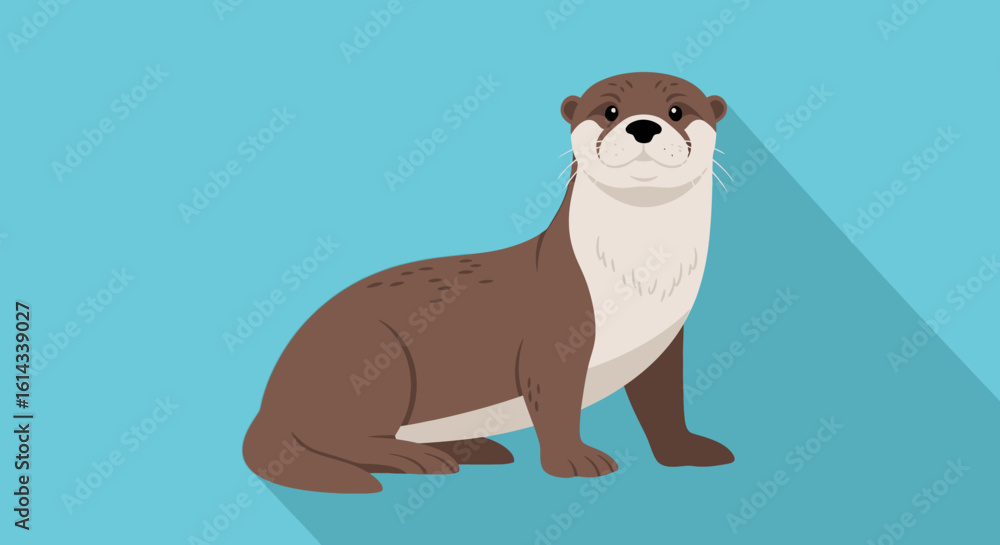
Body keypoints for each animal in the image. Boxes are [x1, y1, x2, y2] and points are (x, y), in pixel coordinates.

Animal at [243, 72, 733, 493]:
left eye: (677, 111)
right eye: (610, 110)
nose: (643, 126)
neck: (639, 276)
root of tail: (272, 393)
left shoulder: (665, 341)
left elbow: (665, 405)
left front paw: (687, 451)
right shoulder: (556, 332)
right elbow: (556, 403)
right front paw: (574, 461)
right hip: (370, 355)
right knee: (340, 437)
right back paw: (415, 458)